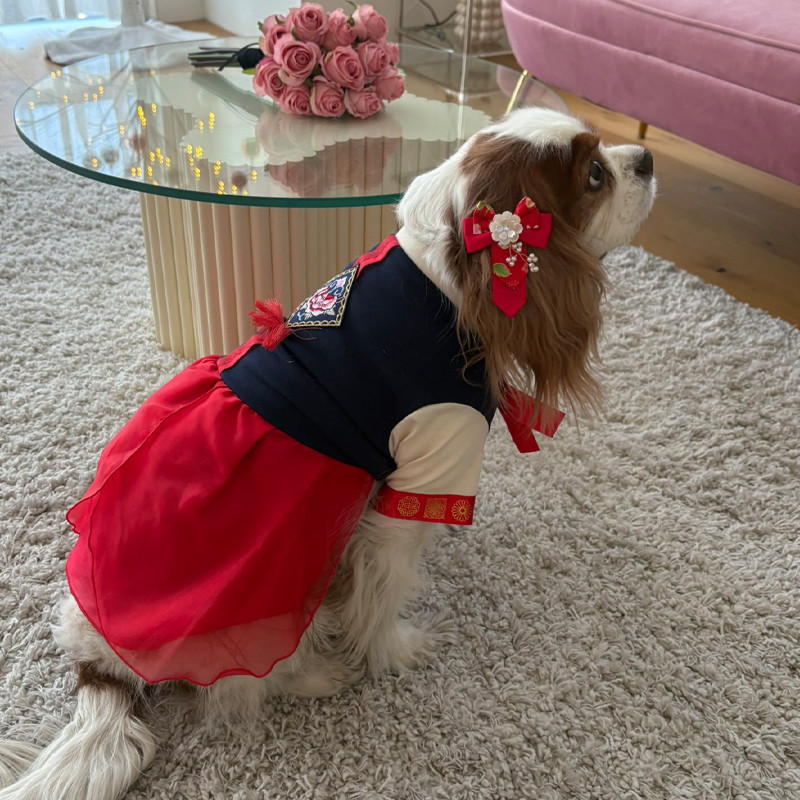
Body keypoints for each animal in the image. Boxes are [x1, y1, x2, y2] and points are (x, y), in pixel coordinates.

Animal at [0, 107, 655, 800]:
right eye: (594, 175)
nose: (646, 159)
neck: (443, 285)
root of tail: (97, 662)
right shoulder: (425, 462)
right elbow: (384, 590)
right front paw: (395, 653)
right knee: (240, 682)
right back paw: (319, 674)